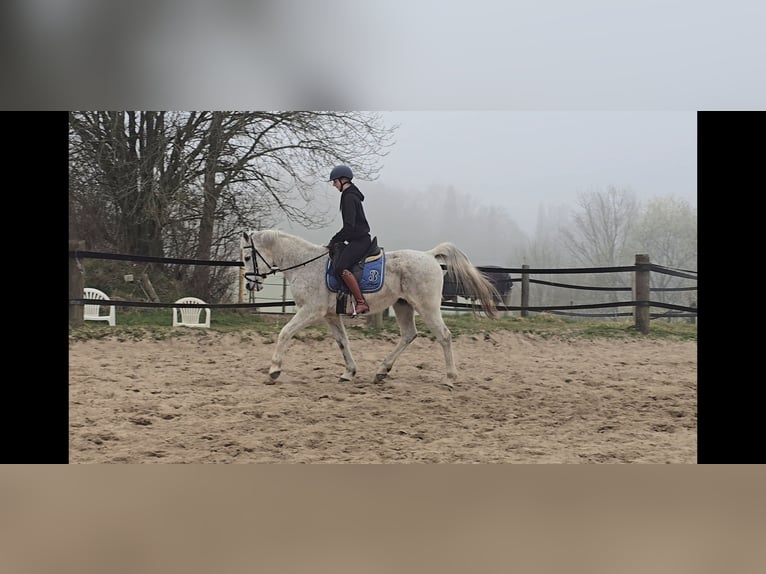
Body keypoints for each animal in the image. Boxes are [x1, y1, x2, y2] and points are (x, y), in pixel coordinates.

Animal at [242, 231, 504, 392]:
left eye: (246, 257)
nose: (249, 286)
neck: (307, 265)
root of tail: (429, 256)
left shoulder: (311, 310)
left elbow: (285, 332)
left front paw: (274, 370)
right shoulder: (330, 315)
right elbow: (342, 342)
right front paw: (349, 372)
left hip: (427, 306)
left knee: (444, 336)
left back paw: (449, 379)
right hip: (403, 305)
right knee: (409, 335)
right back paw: (381, 371)